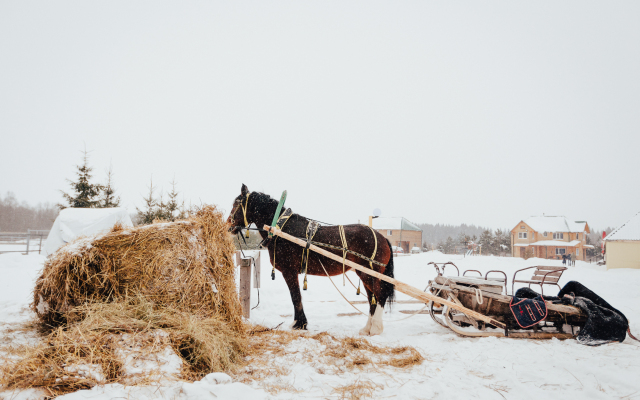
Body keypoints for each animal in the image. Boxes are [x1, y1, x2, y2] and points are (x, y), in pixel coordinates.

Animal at [225, 186, 396, 336]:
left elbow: (295, 296)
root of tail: (382, 238)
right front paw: (301, 323)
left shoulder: (289, 271)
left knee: (380, 296)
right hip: (365, 274)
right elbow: (296, 296)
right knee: (372, 299)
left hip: (369, 274)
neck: (281, 229)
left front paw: (299, 324)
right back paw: (367, 328)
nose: (228, 226)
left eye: (236, 204)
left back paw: (375, 328)